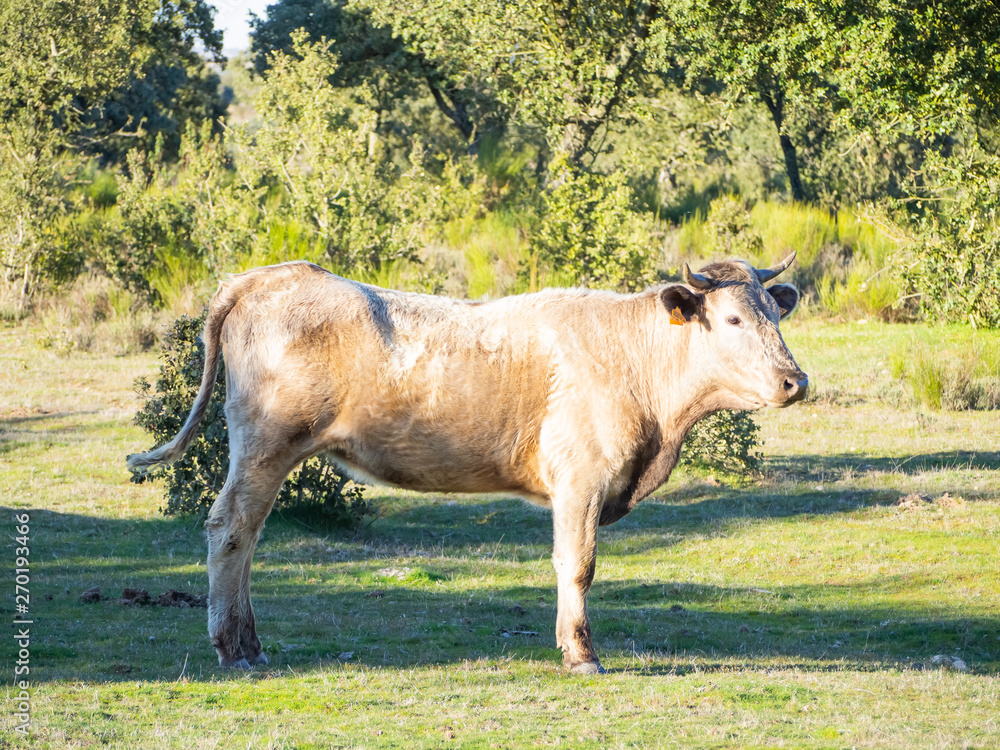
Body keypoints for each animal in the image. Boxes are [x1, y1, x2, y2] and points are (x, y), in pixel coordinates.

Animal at [127, 253, 807, 675]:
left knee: (247, 537)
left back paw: (250, 643)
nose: (794, 380)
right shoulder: (581, 479)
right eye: (732, 318)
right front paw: (580, 654)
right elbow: (577, 565)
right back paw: (233, 648)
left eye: (775, 314)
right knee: (230, 529)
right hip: (265, 446)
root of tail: (268, 275)